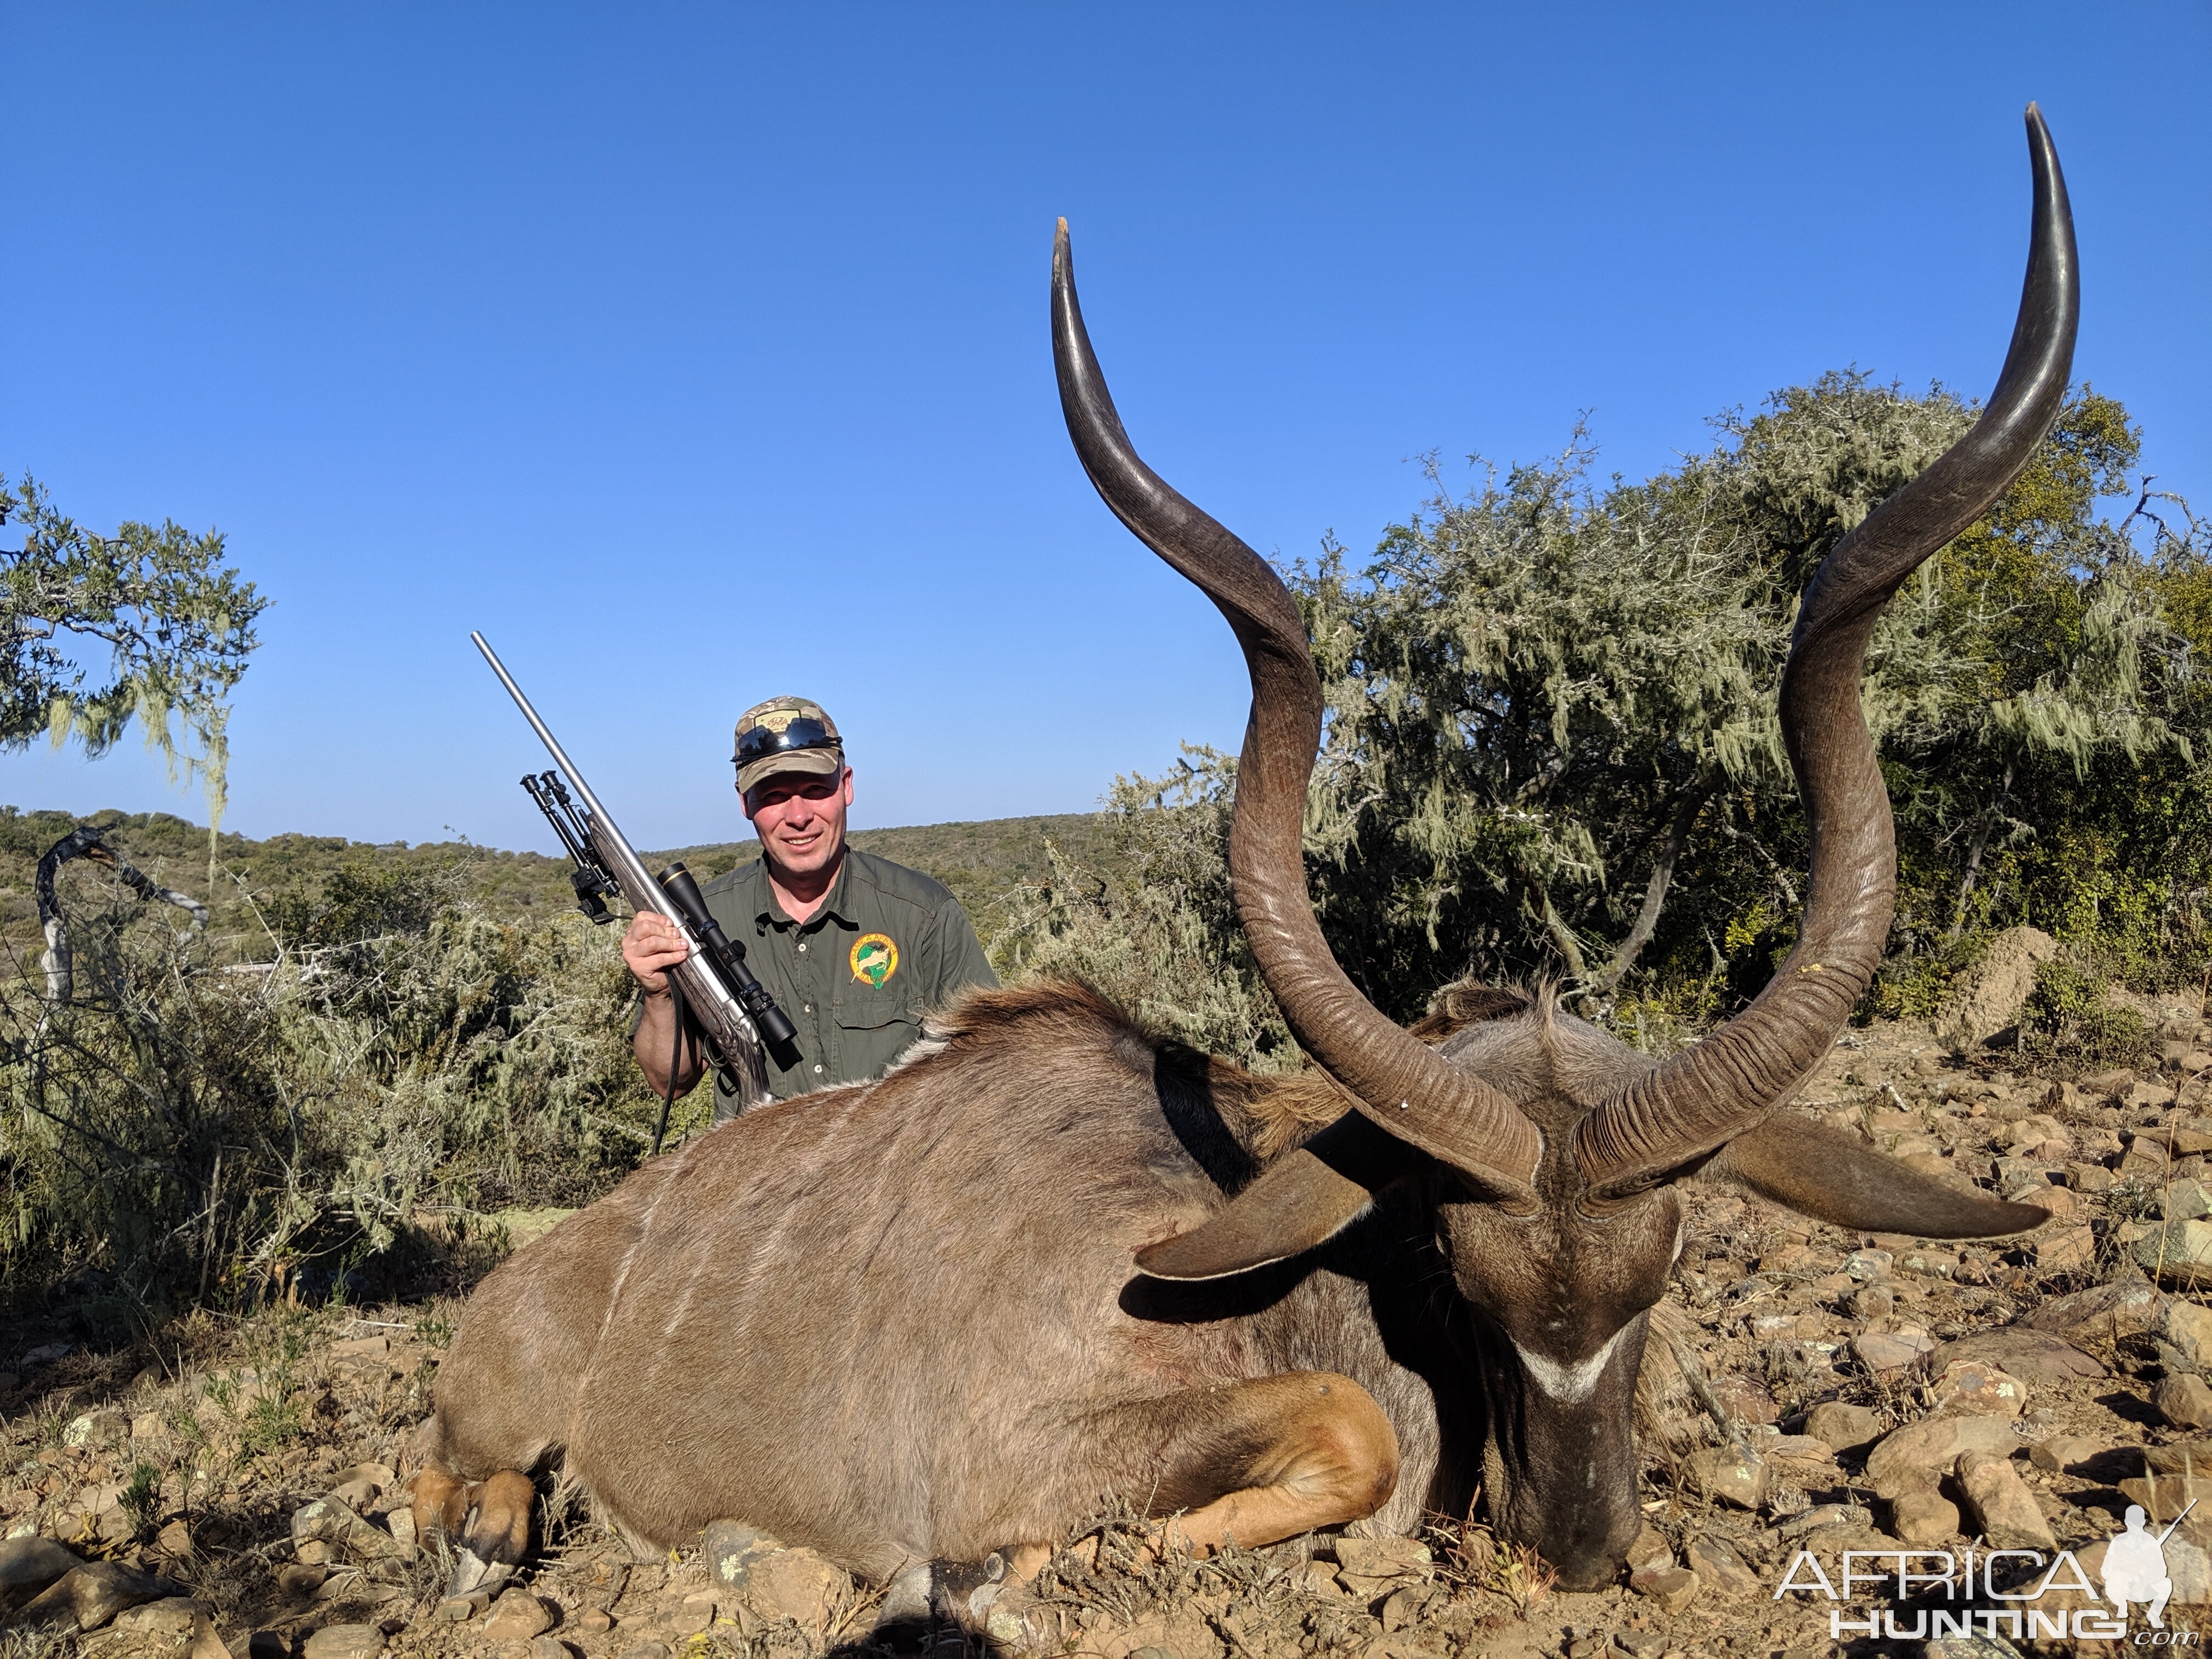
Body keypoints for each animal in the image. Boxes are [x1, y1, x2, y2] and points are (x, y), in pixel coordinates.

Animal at [416, 114, 2070, 1601]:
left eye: (1663, 1270)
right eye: (1459, 1272)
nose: (1579, 1551)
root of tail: (564, 1258)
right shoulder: (1012, 1445)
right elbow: (1343, 1432)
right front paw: (1022, 1570)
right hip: (493, 1399)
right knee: (467, 1466)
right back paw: (485, 1541)